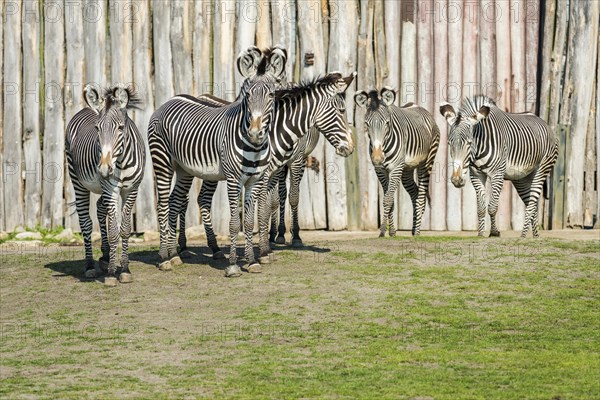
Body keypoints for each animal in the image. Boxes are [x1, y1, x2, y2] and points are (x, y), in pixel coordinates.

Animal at [65, 84, 145, 286]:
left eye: (121, 127)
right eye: (97, 128)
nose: (103, 169)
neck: (121, 161)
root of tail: (86, 108)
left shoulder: (131, 190)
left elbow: (125, 229)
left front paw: (124, 269)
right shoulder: (111, 189)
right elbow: (114, 231)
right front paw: (111, 274)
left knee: (100, 208)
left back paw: (106, 256)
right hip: (77, 181)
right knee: (86, 222)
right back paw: (90, 266)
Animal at [146, 47, 284, 276]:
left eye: (271, 95)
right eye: (247, 95)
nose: (255, 133)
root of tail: (169, 100)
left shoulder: (255, 180)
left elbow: (248, 222)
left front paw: (252, 261)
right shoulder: (233, 180)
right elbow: (234, 223)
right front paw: (233, 265)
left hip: (184, 169)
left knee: (175, 201)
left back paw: (174, 255)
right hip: (162, 162)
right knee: (163, 204)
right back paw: (164, 257)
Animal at [175, 73, 356, 262]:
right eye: (342, 111)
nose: (351, 147)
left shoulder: (277, 168)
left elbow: (272, 202)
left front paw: (271, 240)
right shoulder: (280, 167)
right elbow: (272, 204)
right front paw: (269, 247)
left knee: (191, 199)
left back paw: (195, 247)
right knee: (196, 199)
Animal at [354, 88, 438, 238]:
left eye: (387, 123)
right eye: (367, 124)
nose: (377, 158)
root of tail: (418, 106)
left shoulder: (395, 169)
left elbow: (387, 199)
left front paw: (382, 231)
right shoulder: (380, 171)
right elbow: (390, 200)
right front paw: (392, 231)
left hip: (426, 163)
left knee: (421, 196)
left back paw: (417, 231)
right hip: (407, 170)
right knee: (415, 194)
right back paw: (414, 228)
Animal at [440, 94, 556, 238]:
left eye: (469, 143)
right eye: (449, 143)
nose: (456, 180)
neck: (479, 148)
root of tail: (542, 121)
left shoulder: (497, 174)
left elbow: (492, 207)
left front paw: (494, 232)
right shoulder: (476, 175)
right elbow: (481, 208)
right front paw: (480, 233)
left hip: (542, 169)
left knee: (532, 204)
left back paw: (523, 236)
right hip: (521, 178)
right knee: (531, 203)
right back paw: (535, 236)